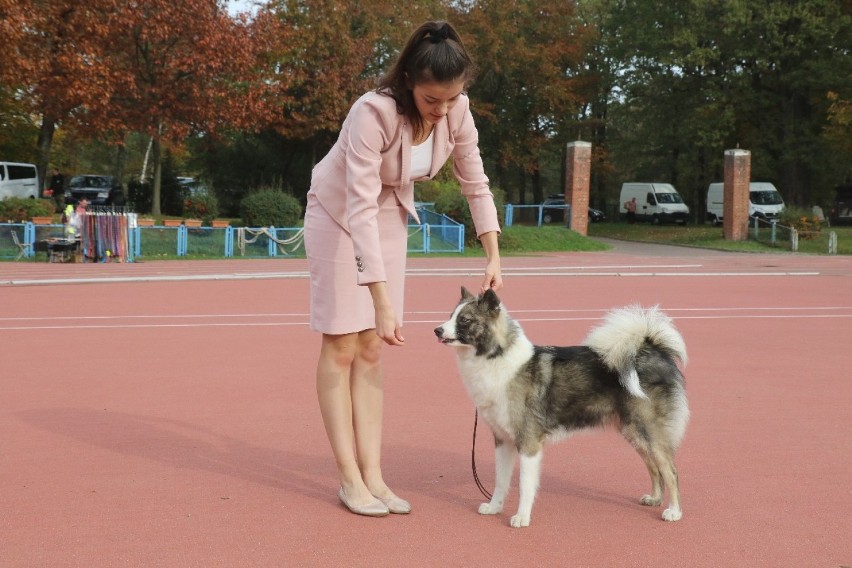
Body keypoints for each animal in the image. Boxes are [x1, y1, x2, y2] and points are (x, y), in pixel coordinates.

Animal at [436, 288, 688, 528]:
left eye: (465, 320)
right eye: (451, 316)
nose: (437, 330)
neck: (497, 358)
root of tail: (651, 349)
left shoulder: (528, 443)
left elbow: (525, 486)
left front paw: (522, 517)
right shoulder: (503, 440)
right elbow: (501, 481)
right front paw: (494, 507)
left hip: (650, 431)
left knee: (670, 470)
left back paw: (674, 511)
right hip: (634, 432)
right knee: (654, 467)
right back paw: (654, 498)